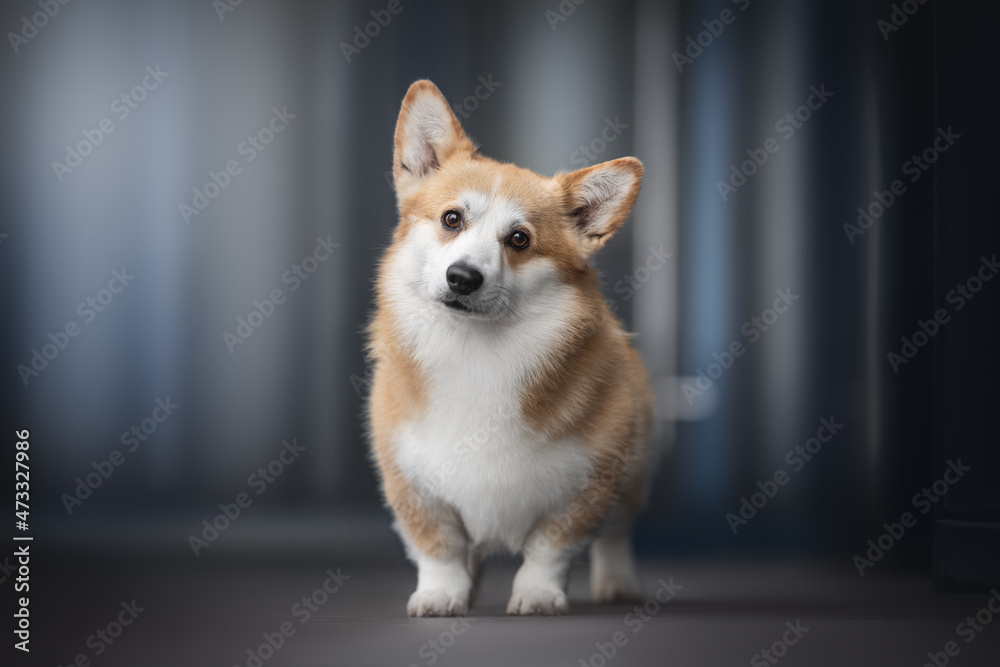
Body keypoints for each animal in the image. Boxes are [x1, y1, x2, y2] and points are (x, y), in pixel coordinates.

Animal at [370, 81, 656, 620]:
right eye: (451, 219)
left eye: (519, 239)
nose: (462, 277)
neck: (476, 350)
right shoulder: (411, 484)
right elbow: (438, 547)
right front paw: (441, 595)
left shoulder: (587, 486)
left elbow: (550, 547)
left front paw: (538, 595)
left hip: (631, 481)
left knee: (617, 536)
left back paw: (619, 582)